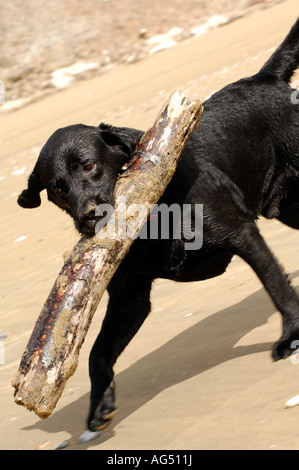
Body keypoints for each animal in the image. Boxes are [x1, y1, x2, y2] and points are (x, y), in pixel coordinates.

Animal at [18, 20, 299, 432]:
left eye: (88, 165)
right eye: (56, 189)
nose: (88, 215)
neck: (156, 221)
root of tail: (265, 78)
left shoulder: (241, 233)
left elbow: (276, 285)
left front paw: (291, 336)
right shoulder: (130, 297)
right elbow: (97, 354)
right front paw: (100, 403)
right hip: (290, 207)